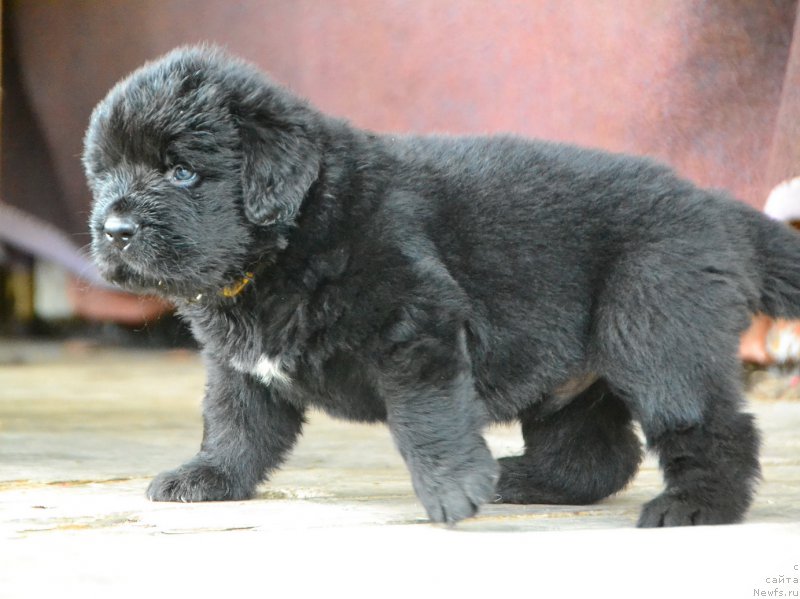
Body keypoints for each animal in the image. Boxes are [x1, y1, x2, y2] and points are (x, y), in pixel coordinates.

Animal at [84, 45, 792, 524]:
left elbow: (427, 415)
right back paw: (519, 479)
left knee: (711, 423)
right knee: (596, 452)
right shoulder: (240, 364)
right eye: (103, 174)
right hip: (573, 371)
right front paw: (207, 477)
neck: (294, 237)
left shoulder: (415, 323)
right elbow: (235, 423)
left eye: (180, 172)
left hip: (654, 324)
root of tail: (713, 204)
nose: (113, 228)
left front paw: (452, 489)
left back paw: (695, 506)